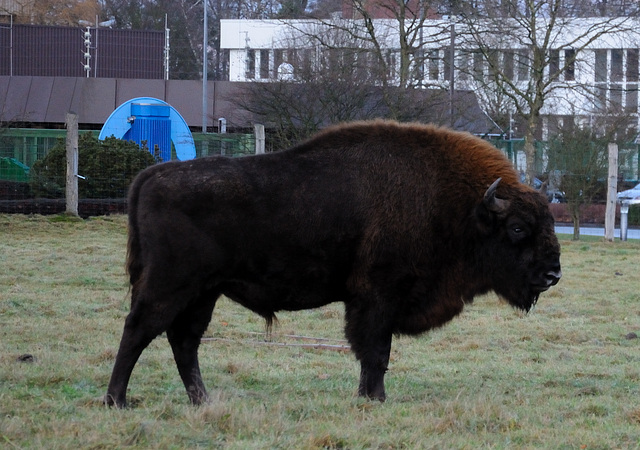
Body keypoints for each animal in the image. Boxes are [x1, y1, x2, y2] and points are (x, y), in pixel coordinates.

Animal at [104, 120, 560, 408]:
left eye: (550, 222)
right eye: (518, 228)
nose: (553, 274)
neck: (463, 209)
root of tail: (151, 175)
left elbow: (373, 353)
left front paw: (368, 397)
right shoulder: (377, 298)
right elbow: (375, 352)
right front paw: (376, 399)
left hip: (204, 292)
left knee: (184, 341)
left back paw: (202, 400)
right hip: (169, 286)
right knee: (138, 330)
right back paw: (117, 401)